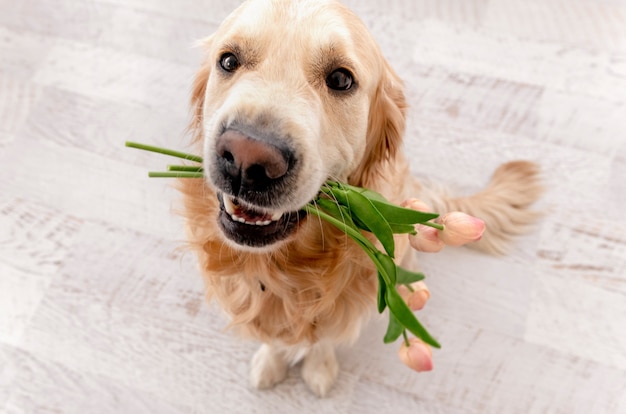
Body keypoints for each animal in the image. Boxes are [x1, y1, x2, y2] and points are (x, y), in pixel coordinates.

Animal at [178, 0, 540, 396]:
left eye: (340, 79)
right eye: (229, 61)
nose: (247, 158)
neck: (286, 268)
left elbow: (324, 338)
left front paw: (319, 369)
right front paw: (271, 361)